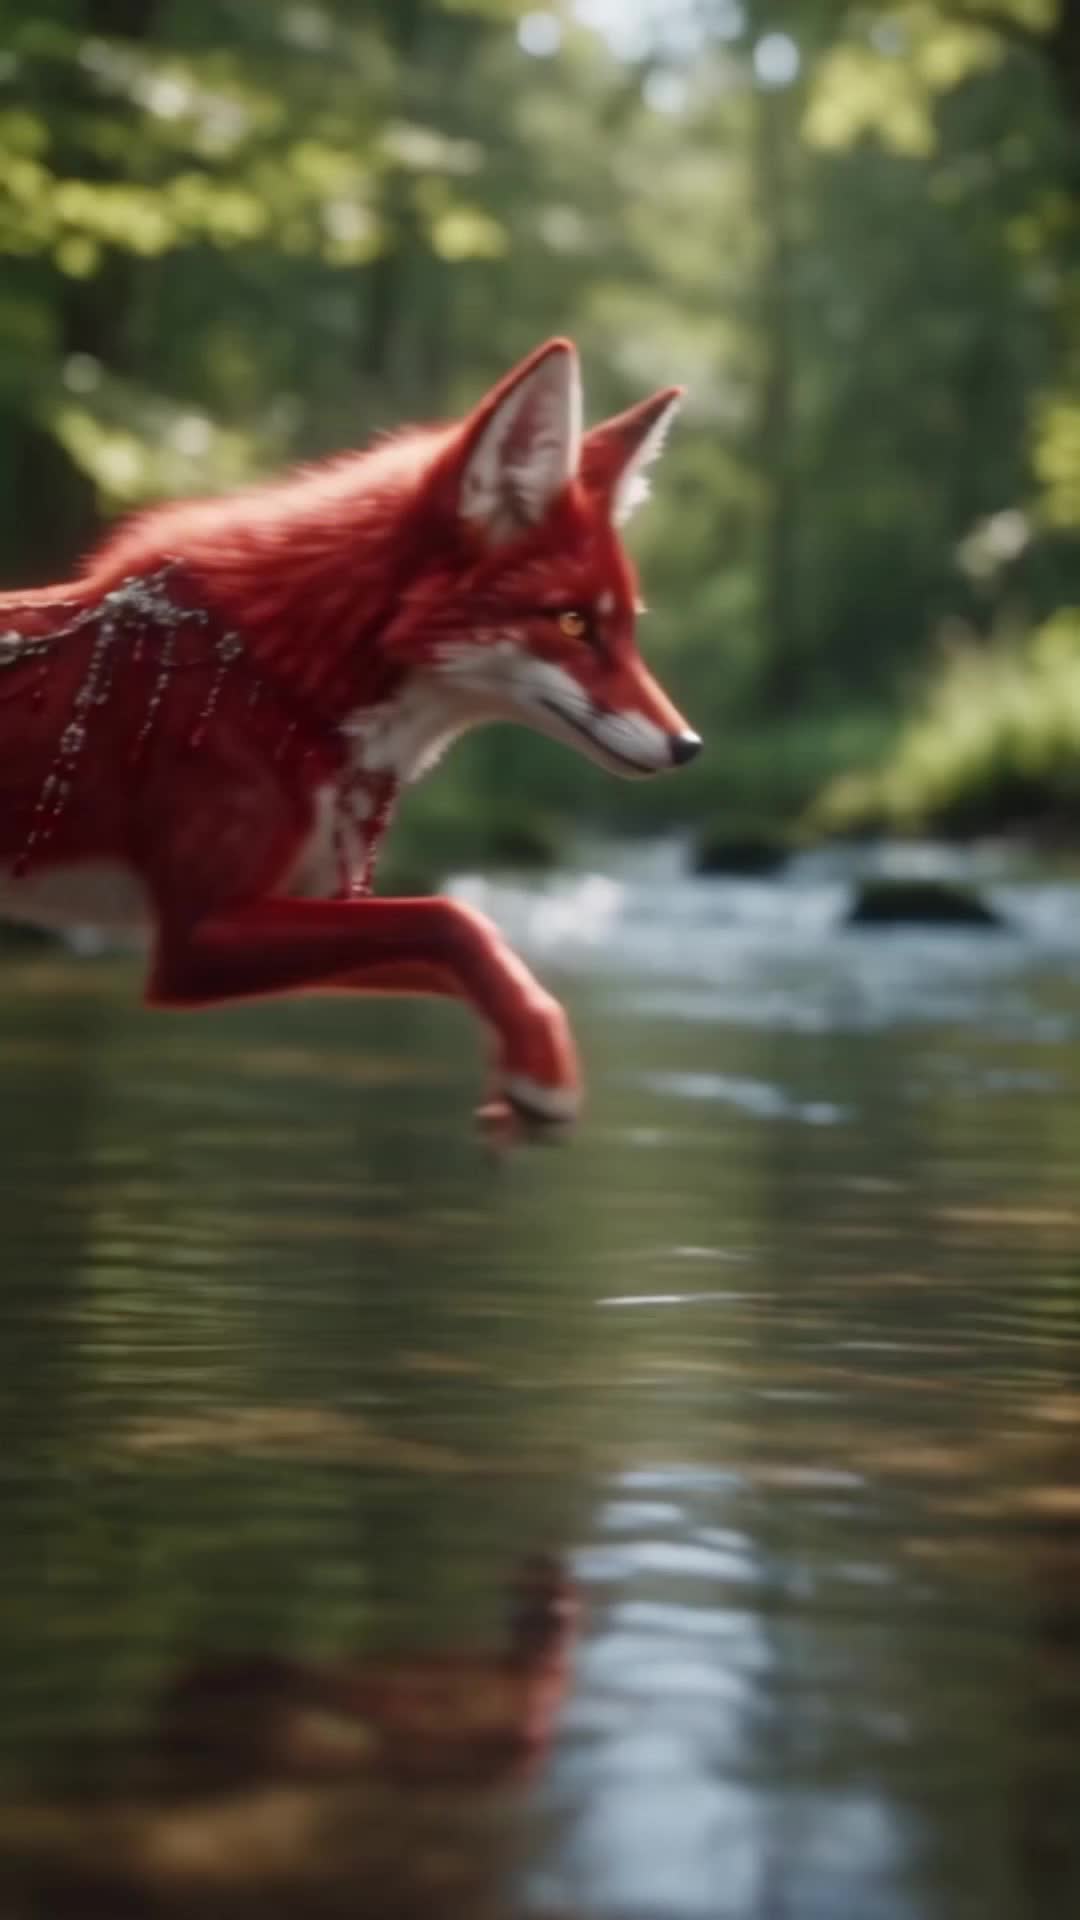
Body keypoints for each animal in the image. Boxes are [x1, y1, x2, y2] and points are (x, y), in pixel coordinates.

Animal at [0, 339, 699, 1134]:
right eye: (575, 623)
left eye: (626, 628)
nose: (689, 746)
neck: (279, 683)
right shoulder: (196, 937)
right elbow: (455, 920)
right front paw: (540, 1065)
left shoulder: (309, 904)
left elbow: (458, 949)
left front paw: (521, 1059)